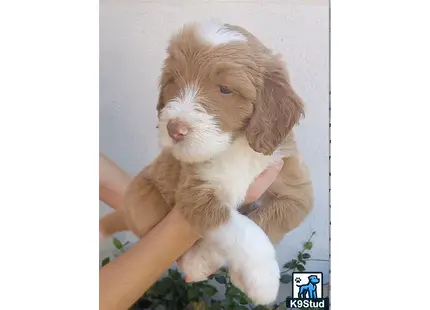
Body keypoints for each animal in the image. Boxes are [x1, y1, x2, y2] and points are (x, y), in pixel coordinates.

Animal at [105, 20, 312, 306]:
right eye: (173, 81)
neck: (233, 147)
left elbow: (268, 221)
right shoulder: (195, 190)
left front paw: (231, 270)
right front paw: (263, 279)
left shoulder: (295, 189)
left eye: (225, 89)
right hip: (143, 200)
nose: (174, 129)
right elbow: (238, 228)